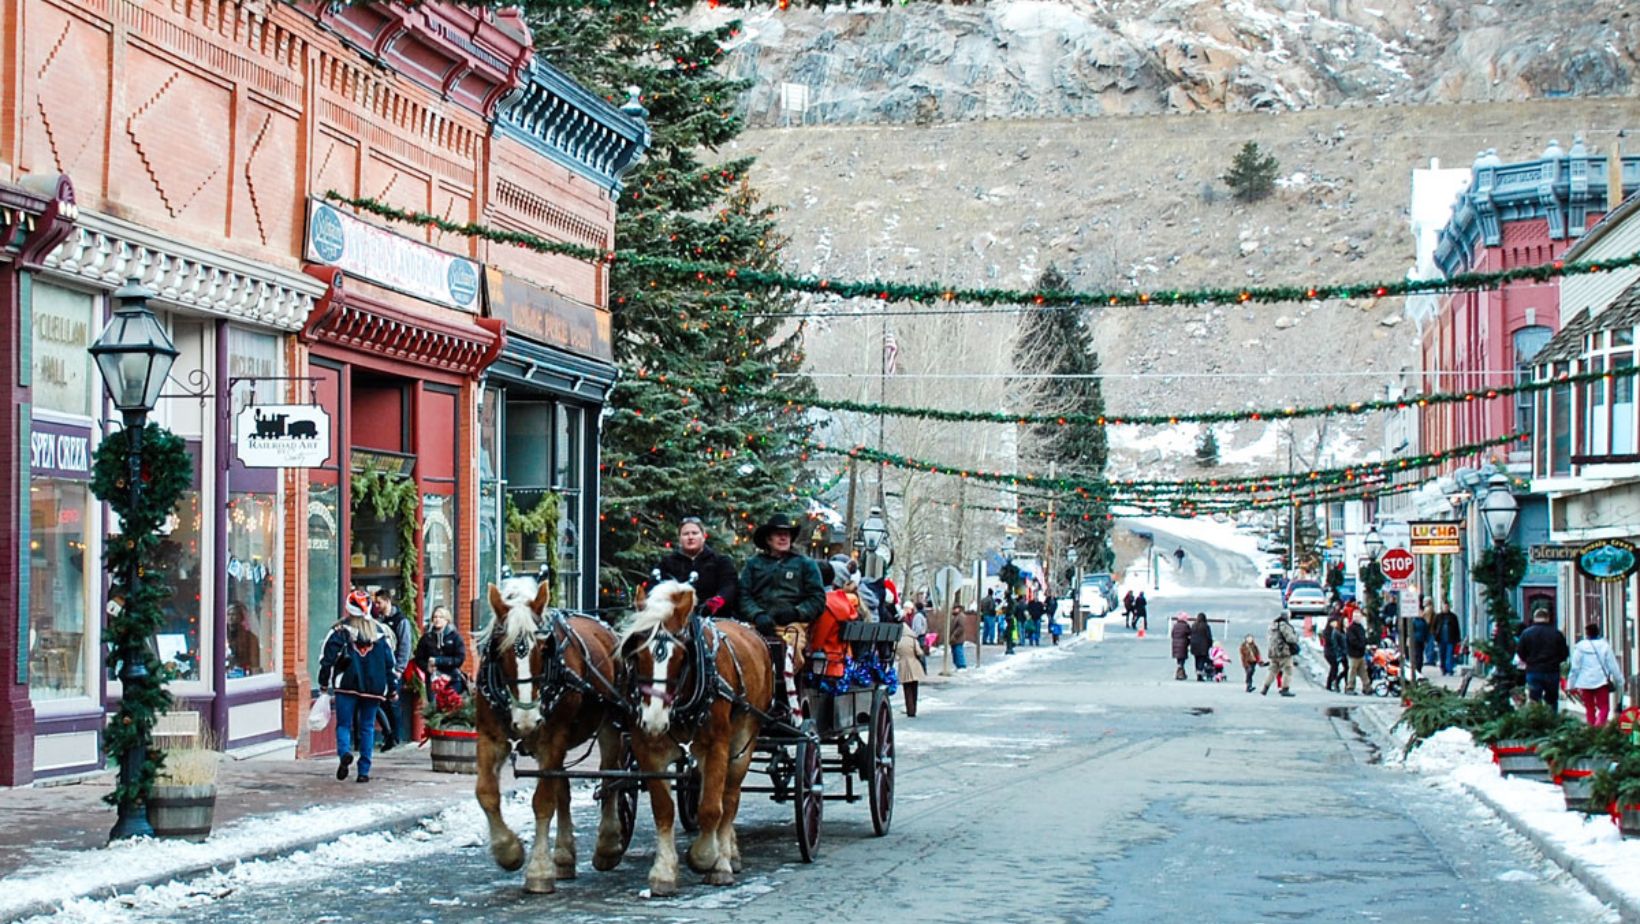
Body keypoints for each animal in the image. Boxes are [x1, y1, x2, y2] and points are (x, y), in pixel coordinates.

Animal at [478, 577, 629, 899]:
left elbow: (543, 801)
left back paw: (608, 846)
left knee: (610, 777)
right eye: (499, 650)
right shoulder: (489, 736)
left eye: (544, 648)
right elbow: (486, 794)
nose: (526, 720)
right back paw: (564, 856)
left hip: (610, 723)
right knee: (565, 790)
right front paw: (508, 852)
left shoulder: (552, 739)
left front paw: (538, 871)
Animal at [619, 584, 774, 899]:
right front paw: (663, 872)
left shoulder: (717, 745)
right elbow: (664, 809)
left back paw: (725, 858)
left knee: (730, 798)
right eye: (638, 656)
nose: (654, 719)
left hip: (744, 741)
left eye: (680, 658)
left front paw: (706, 857)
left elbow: (712, 809)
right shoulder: (647, 749)